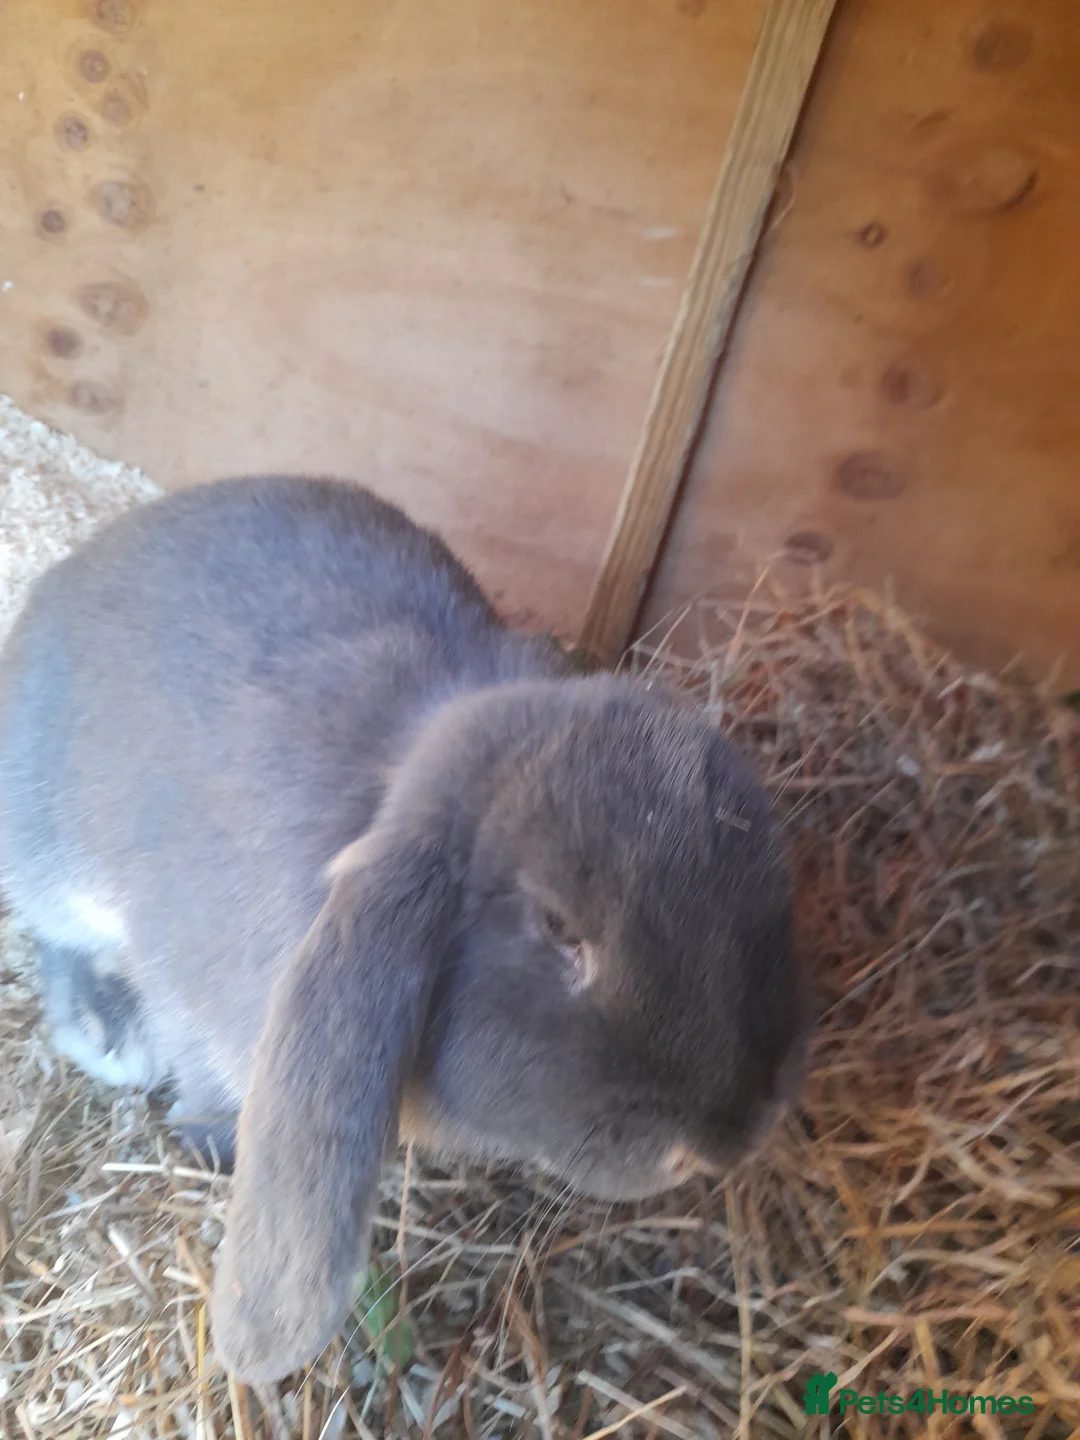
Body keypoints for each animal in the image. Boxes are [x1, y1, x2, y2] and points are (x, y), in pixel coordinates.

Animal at [0, 474, 807, 1384]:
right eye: (559, 928)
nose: (737, 1136)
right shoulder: (192, 995)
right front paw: (211, 1136)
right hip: (48, 853)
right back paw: (105, 1025)